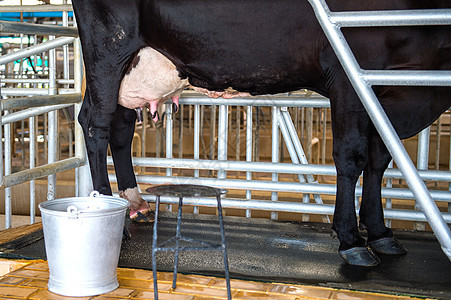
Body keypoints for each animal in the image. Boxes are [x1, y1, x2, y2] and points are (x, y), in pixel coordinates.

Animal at [71, 0, 451, 268]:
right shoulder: (349, 76)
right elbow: (351, 157)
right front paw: (351, 240)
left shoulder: (398, 94)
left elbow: (379, 159)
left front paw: (380, 233)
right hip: (109, 50)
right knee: (94, 123)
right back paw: (115, 219)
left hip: (134, 69)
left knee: (120, 127)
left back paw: (135, 203)